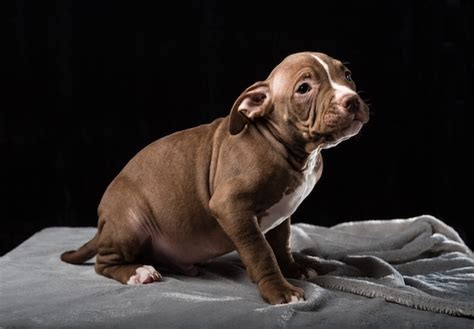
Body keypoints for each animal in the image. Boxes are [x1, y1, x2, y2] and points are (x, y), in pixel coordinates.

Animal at [60, 52, 370, 304]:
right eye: (304, 89)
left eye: (347, 75)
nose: (352, 100)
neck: (282, 145)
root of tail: (103, 226)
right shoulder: (230, 206)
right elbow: (261, 252)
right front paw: (279, 290)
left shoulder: (283, 211)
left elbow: (282, 244)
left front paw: (293, 269)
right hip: (131, 221)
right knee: (104, 263)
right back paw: (139, 272)